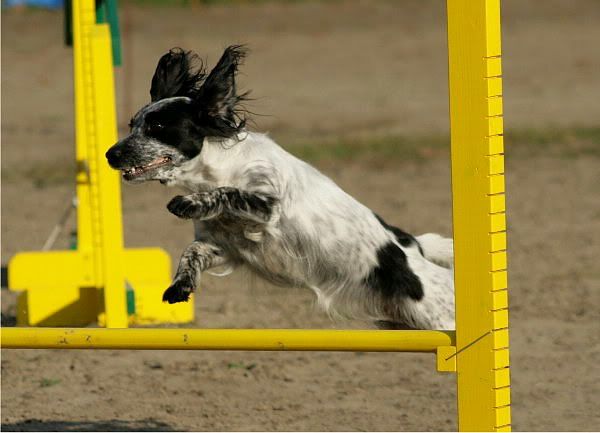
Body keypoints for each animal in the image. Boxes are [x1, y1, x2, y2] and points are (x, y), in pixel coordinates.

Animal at [106, 46, 455, 330]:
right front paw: (180, 285)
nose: (110, 155)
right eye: (133, 126)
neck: (216, 171)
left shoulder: (268, 205)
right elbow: (191, 252)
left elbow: (229, 193)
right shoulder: (224, 246)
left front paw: (189, 202)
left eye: (157, 127)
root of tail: (413, 245)